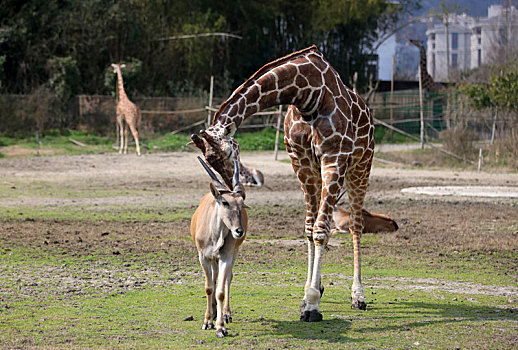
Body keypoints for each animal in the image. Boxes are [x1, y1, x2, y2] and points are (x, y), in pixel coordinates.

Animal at [191, 156, 250, 336]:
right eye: (224, 202)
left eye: (241, 204)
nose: (239, 231)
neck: (214, 235)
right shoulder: (203, 257)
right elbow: (209, 288)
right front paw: (207, 321)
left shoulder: (226, 256)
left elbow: (221, 291)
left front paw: (220, 326)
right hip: (212, 259)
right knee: (215, 278)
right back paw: (214, 311)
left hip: (233, 253)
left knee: (227, 279)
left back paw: (225, 314)